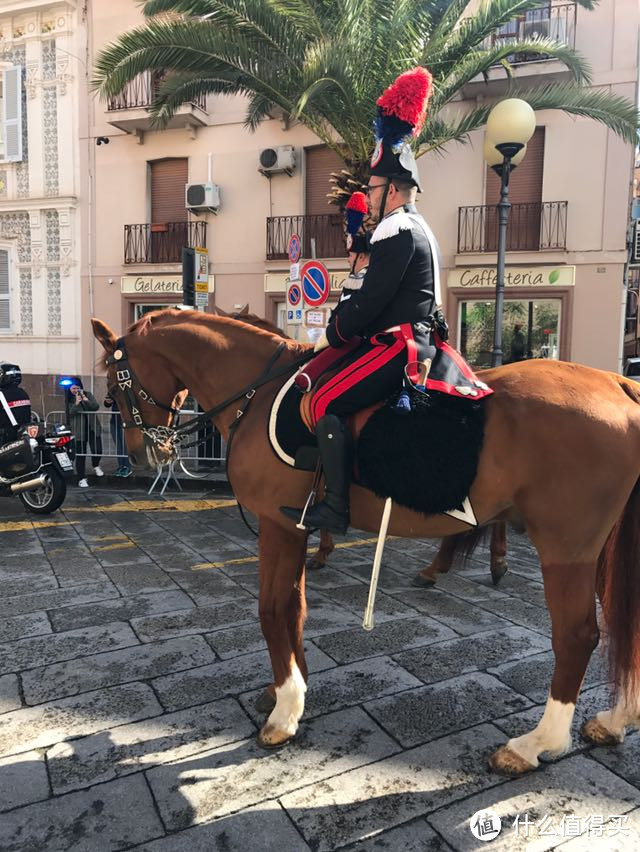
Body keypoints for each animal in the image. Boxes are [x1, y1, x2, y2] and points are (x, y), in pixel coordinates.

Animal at [92, 310, 640, 776]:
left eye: (115, 383)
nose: (142, 455)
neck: (259, 393)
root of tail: (618, 382)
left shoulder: (277, 525)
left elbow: (271, 609)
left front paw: (284, 713)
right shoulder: (296, 528)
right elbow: (295, 608)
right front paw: (289, 689)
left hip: (566, 548)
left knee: (577, 636)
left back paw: (535, 744)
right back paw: (613, 721)